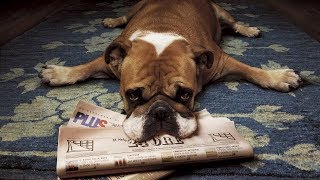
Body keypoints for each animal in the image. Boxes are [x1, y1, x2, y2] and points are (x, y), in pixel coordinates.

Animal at [38, 0, 302, 142]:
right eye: (133, 95)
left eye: (185, 94)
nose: (161, 112)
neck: (161, 33)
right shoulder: (109, 61)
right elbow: (85, 68)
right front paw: (59, 73)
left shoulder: (221, 61)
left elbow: (251, 70)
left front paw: (278, 76)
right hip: (135, 7)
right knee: (124, 15)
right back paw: (112, 20)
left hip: (221, 11)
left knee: (234, 22)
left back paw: (248, 29)